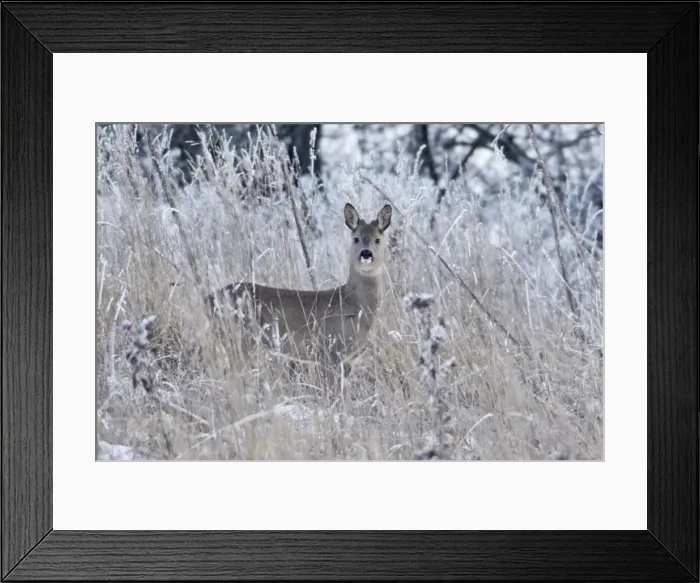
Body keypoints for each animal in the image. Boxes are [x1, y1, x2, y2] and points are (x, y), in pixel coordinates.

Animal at [205, 203, 393, 385]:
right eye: (356, 238)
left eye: (378, 239)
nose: (366, 253)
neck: (352, 303)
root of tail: (208, 298)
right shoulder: (329, 352)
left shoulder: (348, 360)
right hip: (239, 339)